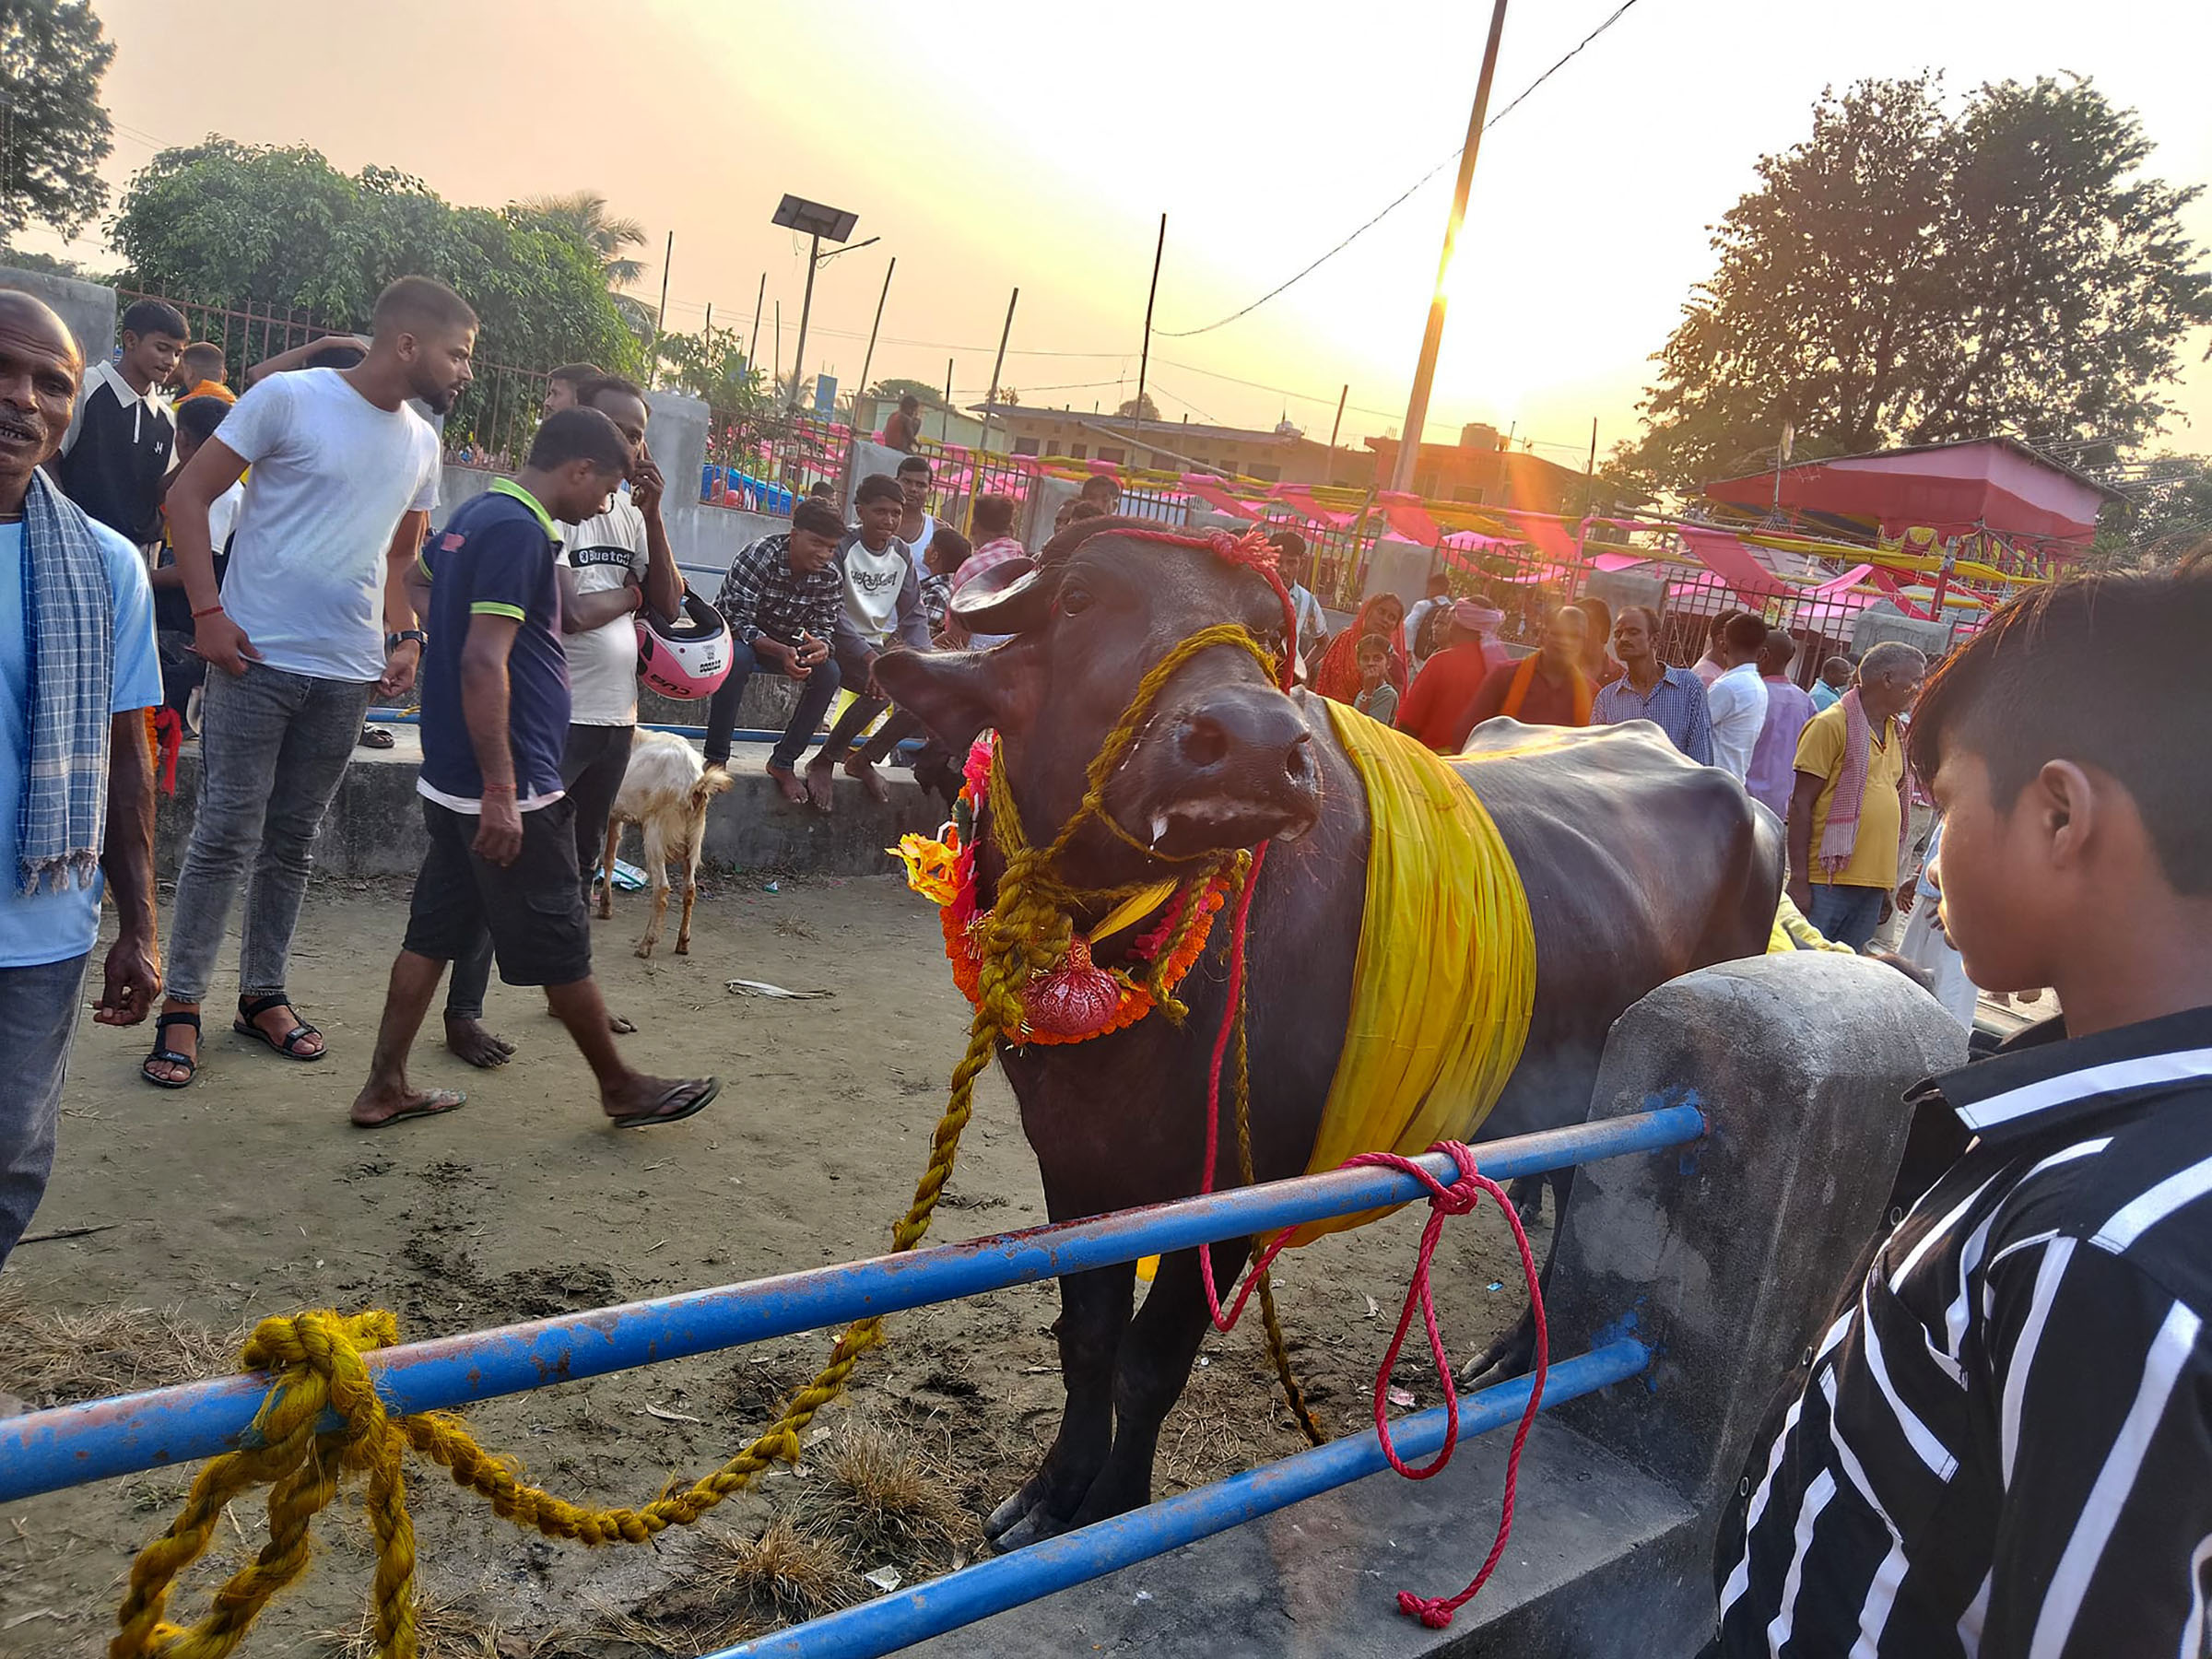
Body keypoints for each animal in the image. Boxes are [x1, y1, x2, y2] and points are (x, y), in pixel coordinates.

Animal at [597, 738, 734, 959]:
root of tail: (694, 782)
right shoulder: (615, 814)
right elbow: (609, 858)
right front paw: (605, 907)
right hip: (694, 837)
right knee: (690, 888)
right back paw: (683, 943)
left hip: (656, 831)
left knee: (661, 887)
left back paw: (646, 945)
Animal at [866, 522, 1778, 1557]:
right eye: (1077, 598)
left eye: (1269, 631)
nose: (1257, 747)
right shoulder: (1072, 1156)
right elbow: (1088, 1339)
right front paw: (1050, 1497)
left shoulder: (1240, 1179)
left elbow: (1152, 1359)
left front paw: (1115, 1509)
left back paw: (1513, 1356)